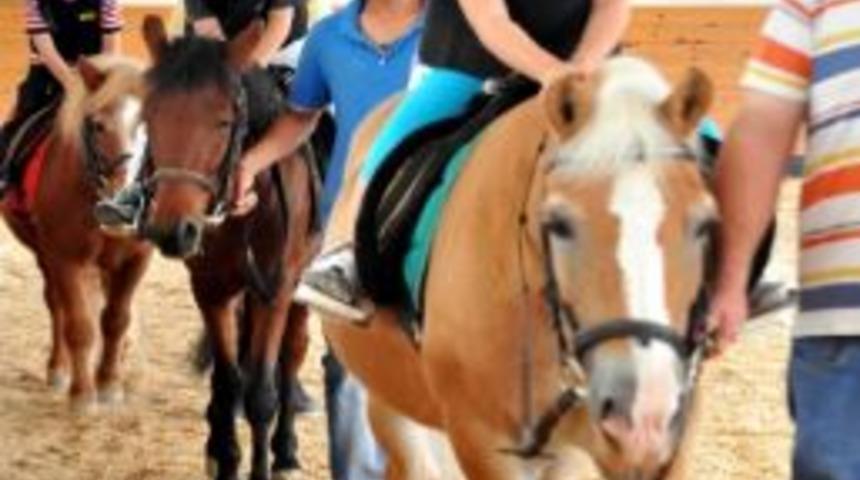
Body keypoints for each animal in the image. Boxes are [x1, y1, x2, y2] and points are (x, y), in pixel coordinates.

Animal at [0, 56, 151, 411]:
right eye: (97, 125)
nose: (122, 207)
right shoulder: (65, 258)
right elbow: (79, 324)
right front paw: (82, 393)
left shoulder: (136, 259)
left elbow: (116, 320)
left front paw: (109, 383)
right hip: (46, 256)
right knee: (57, 307)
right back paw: (60, 369)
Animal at [137, 17, 318, 480]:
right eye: (150, 116)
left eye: (222, 122)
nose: (173, 230)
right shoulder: (211, 289)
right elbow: (228, 380)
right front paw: (223, 455)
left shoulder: (276, 291)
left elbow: (261, 393)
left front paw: (261, 465)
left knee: (291, 357)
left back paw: (286, 450)